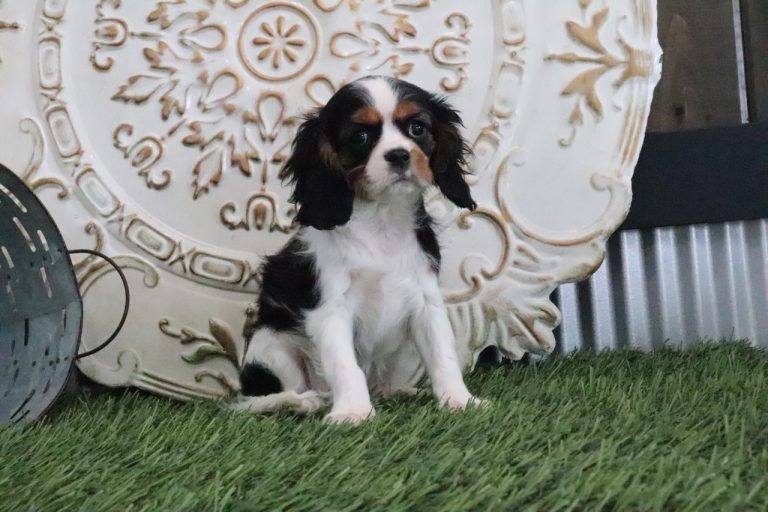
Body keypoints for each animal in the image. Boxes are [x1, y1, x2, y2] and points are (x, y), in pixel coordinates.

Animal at [233, 76, 485, 424]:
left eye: (417, 128)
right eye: (361, 137)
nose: (399, 155)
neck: (381, 220)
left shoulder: (426, 303)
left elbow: (442, 356)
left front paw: (460, 401)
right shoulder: (331, 309)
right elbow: (345, 365)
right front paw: (352, 412)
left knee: (381, 384)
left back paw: (400, 391)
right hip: (272, 346)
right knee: (251, 401)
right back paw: (301, 402)